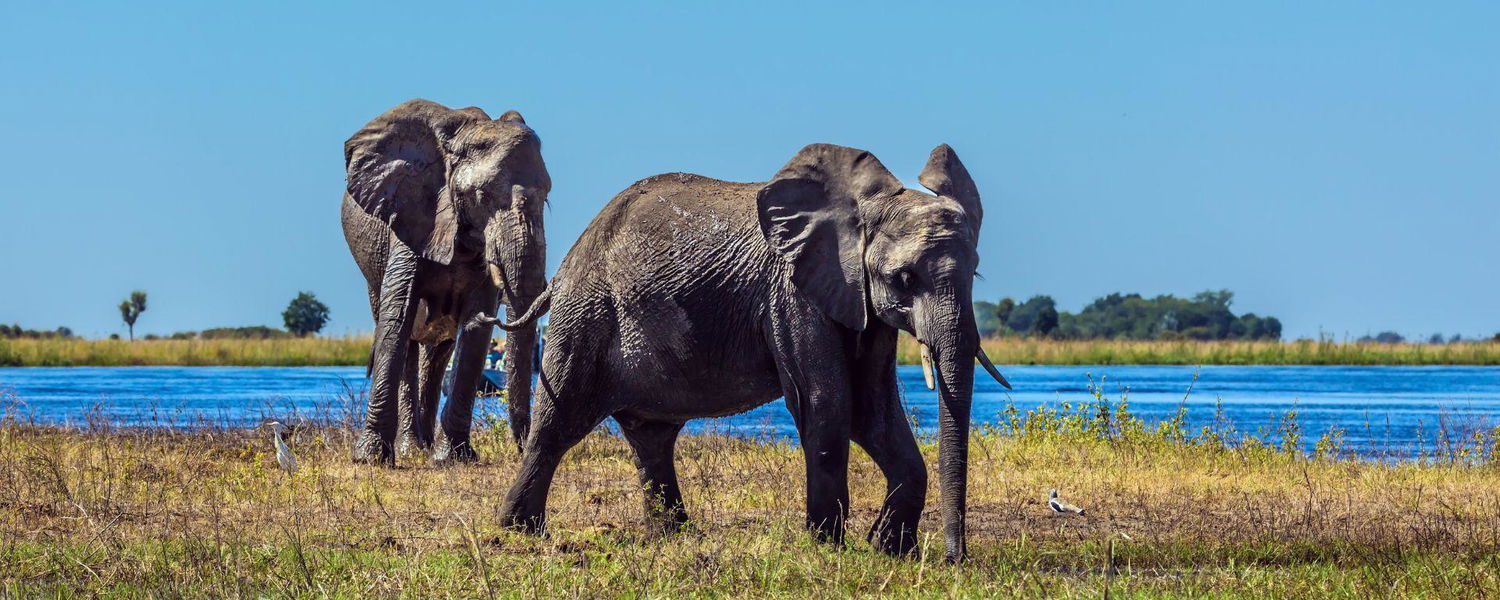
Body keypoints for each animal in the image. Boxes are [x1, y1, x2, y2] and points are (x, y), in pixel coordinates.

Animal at [340, 97, 552, 465]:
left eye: (547, 196)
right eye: (483, 196)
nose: (524, 448)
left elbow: (474, 332)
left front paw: (453, 458)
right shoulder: (411, 214)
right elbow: (397, 318)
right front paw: (370, 459)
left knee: (439, 351)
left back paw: (424, 446)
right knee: (406, 336)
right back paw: (412, 449)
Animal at [498, 143, 1014, 561]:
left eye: (975, 273)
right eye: (904, 277)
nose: (955, 559)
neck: (864, 209)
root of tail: (565, 266)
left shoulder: (860, 302)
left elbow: (873, 410)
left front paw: (887, 550)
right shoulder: (791, 291)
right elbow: (829, 402)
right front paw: (827, 547)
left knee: (651, 437)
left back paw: (672, 537)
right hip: (584, 314)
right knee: (557, 424)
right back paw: (518, 533)